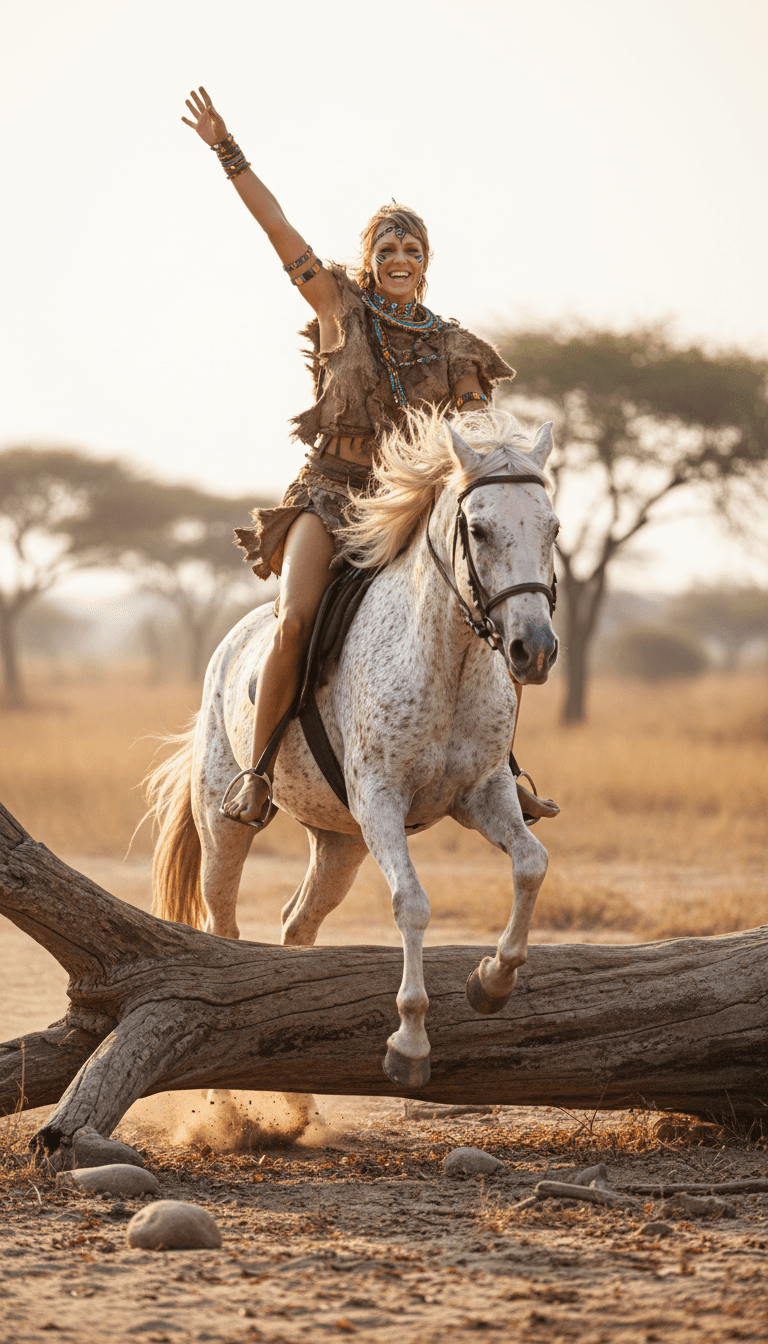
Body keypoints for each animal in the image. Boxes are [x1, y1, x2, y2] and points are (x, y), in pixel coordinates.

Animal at [147, 407, 559, 1089]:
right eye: (478, 529)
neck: (447, 663)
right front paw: (410, 1045)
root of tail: (229, 644)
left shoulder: (482, 795)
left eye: (553, 528)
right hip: (223, 825)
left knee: (298, 923)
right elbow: (412, 904)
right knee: (223, 921)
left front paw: (492, 982)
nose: (535, 649)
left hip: (340, 843)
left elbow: (531, 864)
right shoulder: (381, 804)